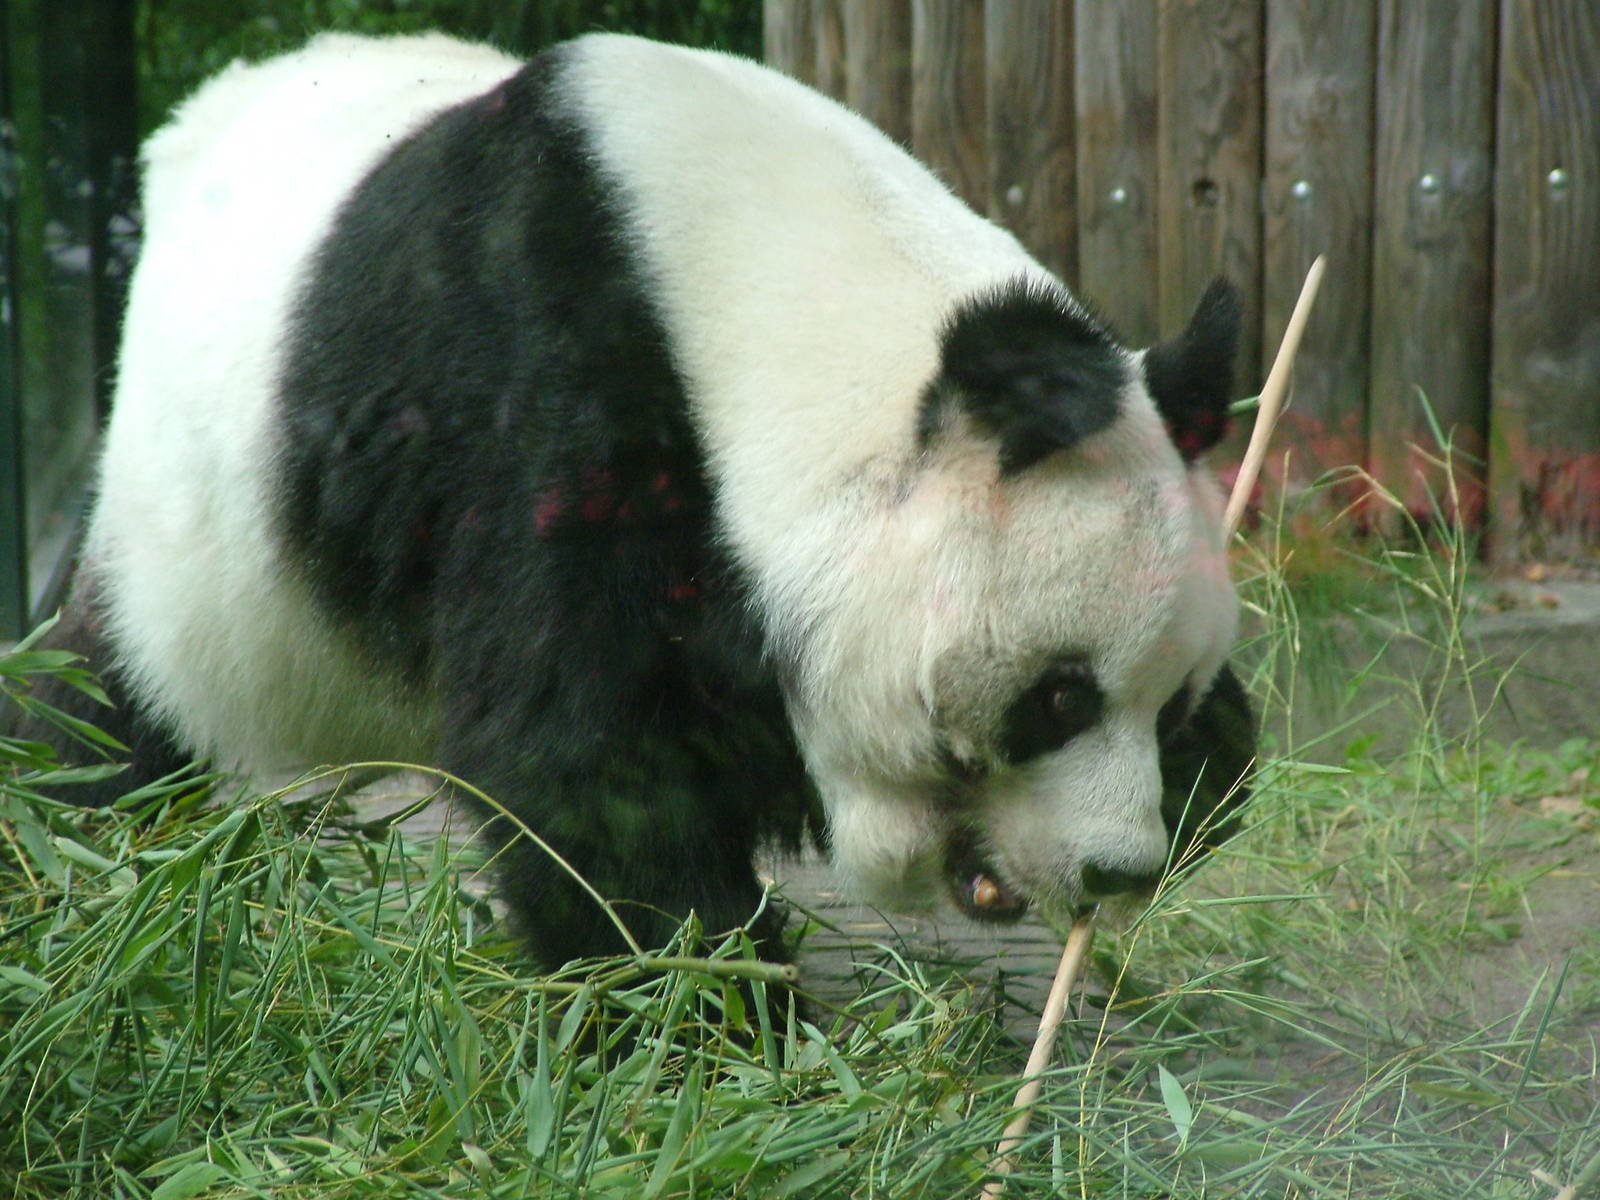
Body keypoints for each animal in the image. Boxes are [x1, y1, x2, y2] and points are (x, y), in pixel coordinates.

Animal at [38, 32, 1254, 971]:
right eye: (1057, 698)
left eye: (1169, 704)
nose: (1118, 868)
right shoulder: (551, 400)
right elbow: (591, 770)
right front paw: (706, 1010)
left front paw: (1212, 773)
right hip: (191, 553)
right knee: (101, 698)